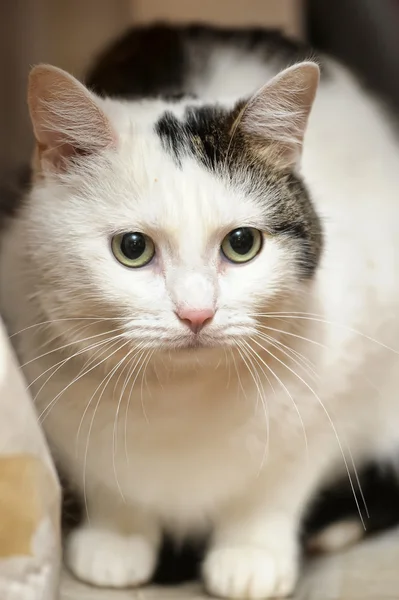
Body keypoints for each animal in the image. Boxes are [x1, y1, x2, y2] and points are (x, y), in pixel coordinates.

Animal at [0, 22, 399, 596]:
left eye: (242, 243)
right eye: (132, 248)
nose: (196, 313)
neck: (182, 400)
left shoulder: (340, 386)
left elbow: (277, 488)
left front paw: (252, 555)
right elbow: (108, 481)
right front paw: (116, 539)